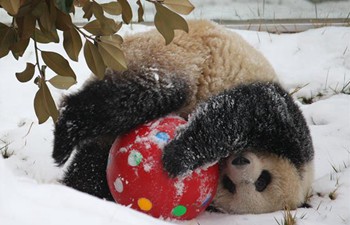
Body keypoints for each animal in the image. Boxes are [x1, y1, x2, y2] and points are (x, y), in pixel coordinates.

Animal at [52, 20, 314, 214]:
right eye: (264, 180)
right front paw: (176, 157)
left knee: (93, 162)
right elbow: (238, 113)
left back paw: (78, 188)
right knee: (134, 97)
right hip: (170, 55)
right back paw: (65, 135)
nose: (240, 162)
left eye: (231, 186)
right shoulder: (289, 127)